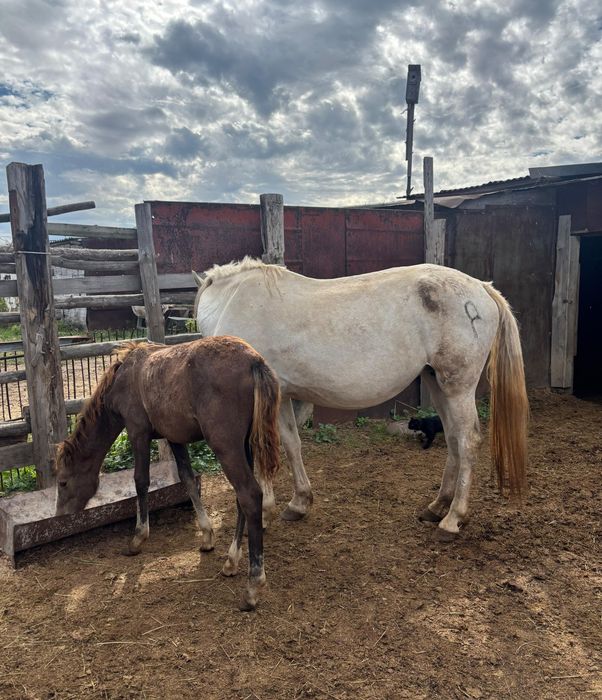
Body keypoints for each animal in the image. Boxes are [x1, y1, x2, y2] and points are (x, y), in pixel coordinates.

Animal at [55, 336, 281, 610]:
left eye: (63, 482)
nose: (60, 516)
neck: (123, 376)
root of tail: (254, 360)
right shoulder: (175, 438)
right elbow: (188, 480)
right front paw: (207, 536)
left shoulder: (137, 432)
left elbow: (141, 481)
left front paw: (138, 538)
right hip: (244, 446)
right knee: (241, 499)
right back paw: (231, 561)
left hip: (226, 447)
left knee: (249, 495)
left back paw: (253, 586)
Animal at [193, 257, 529, 541]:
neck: (235, 302)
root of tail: (481, 288)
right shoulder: (282, 397)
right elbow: (291, 444)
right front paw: (299, 503)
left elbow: (263, 448)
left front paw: (264, 512)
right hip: (438, 384)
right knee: (454, 439)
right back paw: (437, 507)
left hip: (458, 388)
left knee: (468, 440)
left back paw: (453, 519)